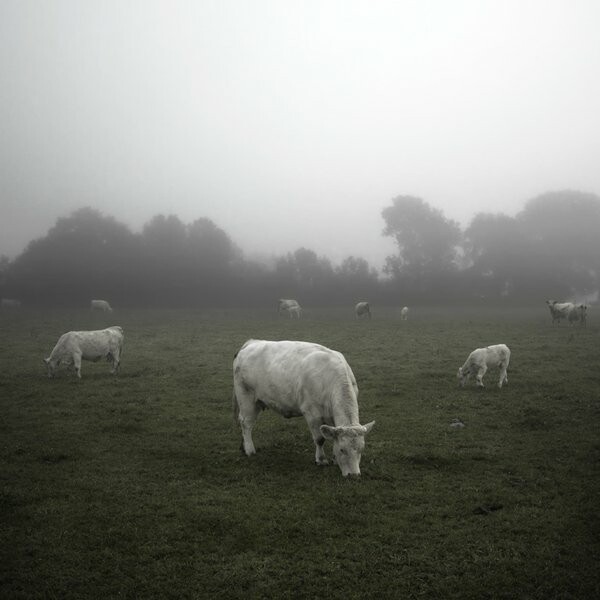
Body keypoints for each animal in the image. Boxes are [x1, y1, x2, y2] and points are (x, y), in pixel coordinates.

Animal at [232, 340, 372, 476]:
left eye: (361, 449)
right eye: (343, 450)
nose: (354, 475)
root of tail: (252, 343)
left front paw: (334, 460)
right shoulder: (312, 413)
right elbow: (319, 439)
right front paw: (321, 460)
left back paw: (243, 446)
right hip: (246, 398)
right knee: (246, 423)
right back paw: (249, 449)